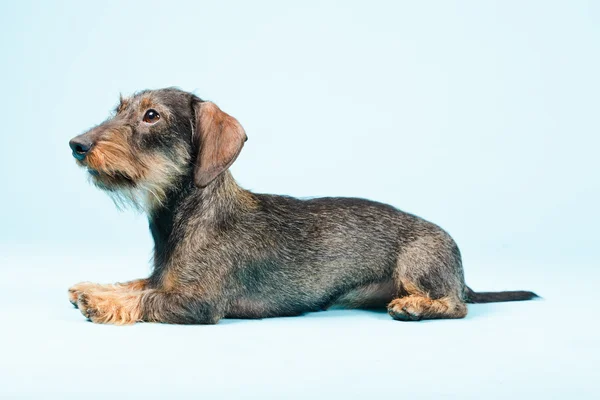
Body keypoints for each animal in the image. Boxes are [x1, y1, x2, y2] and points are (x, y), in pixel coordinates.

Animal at [67, 87, 540, 324]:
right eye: (120, 108)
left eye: (152, 116)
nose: (77, 145)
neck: (188, 216)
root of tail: (462, 276)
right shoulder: (162, 278)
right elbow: (137, 284)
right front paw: (95, 288)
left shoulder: (197, 304)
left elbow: (146, 300)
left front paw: (100, 302)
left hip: (419, 262)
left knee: (457, 306)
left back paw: (417, 306)